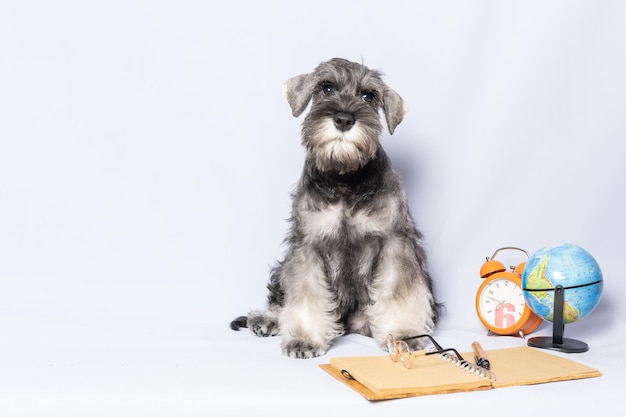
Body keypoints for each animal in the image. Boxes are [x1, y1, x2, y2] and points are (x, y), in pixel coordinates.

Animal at [229, 57, 438, 358]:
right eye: (326, 88)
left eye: (368, 96)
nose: (344, 119)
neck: (345, 178)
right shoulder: (308, 245)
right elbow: (306, 293)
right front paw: (305, 338)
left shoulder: (395, 243)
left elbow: (399, 290)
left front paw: (405, 333)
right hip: (283, 268)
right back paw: (268, 319)